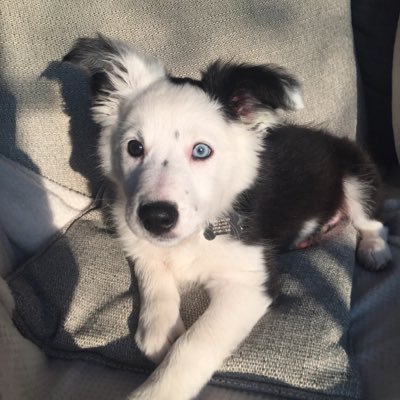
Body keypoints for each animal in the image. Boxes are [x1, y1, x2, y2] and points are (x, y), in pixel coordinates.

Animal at [63, 35, 390, 400]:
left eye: (201, 151)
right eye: (134, 148)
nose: (156, 218)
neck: (197, 233)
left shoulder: (248, 283)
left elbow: (193, 346)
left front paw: (158, 388)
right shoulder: (136, 235)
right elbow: (153, 271)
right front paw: (159, 328)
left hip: (356, 174)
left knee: (371, 221)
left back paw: (375, 249)